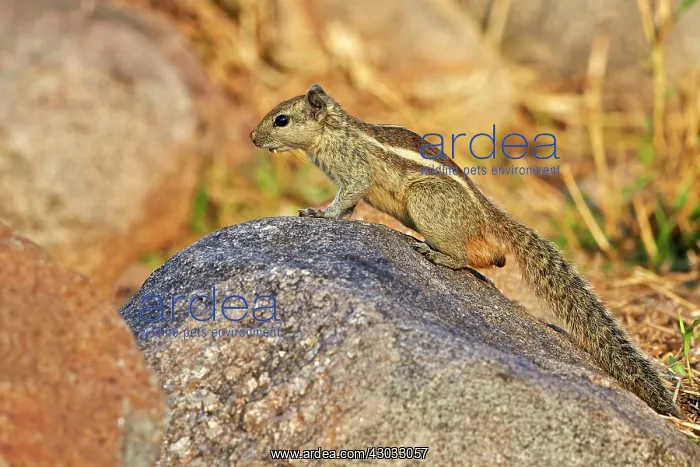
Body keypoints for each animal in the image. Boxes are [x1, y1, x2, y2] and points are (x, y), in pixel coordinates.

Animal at [249, 83, 680, 417]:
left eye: (281, 120)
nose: (253, 138)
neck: (332, 131)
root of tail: (489, 218)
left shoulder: (353, 173)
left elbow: (347, 197)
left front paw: (319, 214)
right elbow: (351, 206)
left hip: (424, 202)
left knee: (467, 256)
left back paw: (436, 254)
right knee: (493, 258)